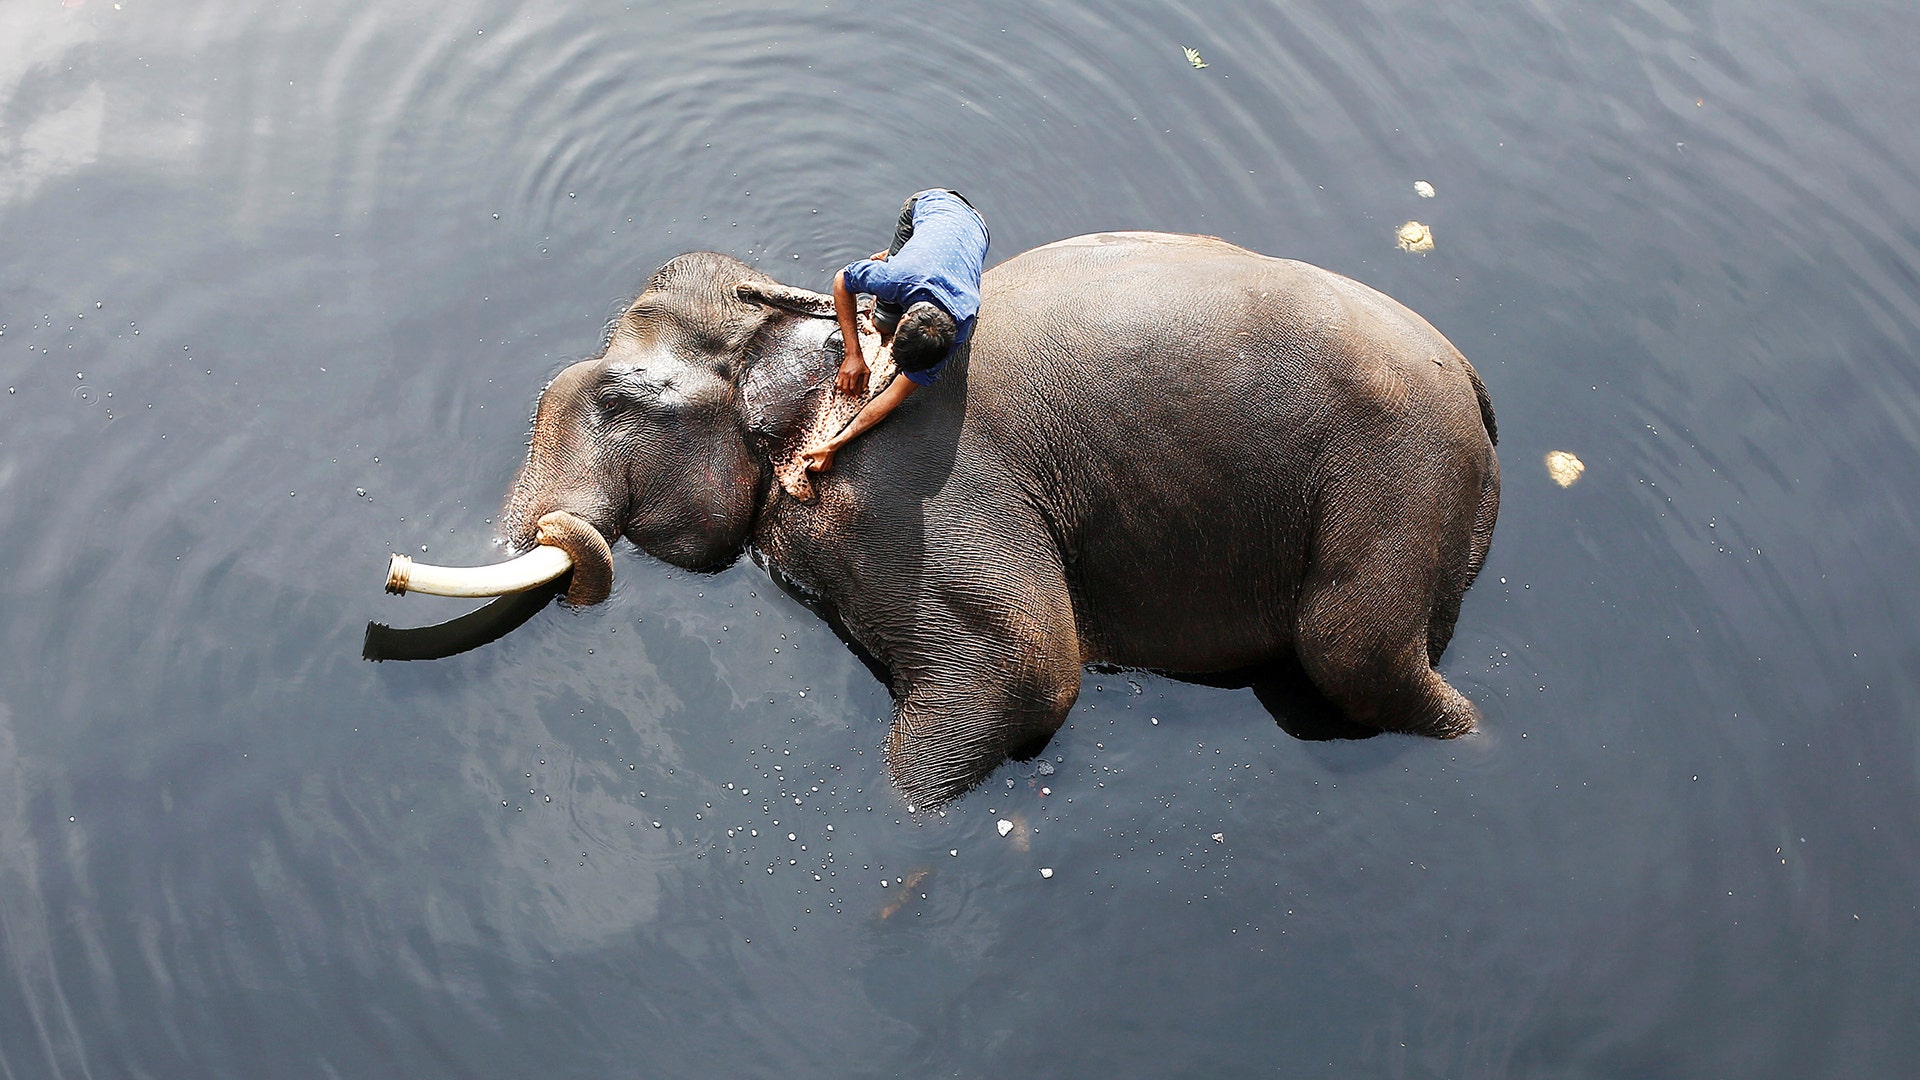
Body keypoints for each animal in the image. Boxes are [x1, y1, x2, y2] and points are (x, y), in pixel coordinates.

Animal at [394, 231, 1500, 809]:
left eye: (620, 402)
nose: (395, 572)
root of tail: (1477, 386)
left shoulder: (905, 495)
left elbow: (1027, 669)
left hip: (1396, 481)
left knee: (1353, 654)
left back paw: (1480, 748)